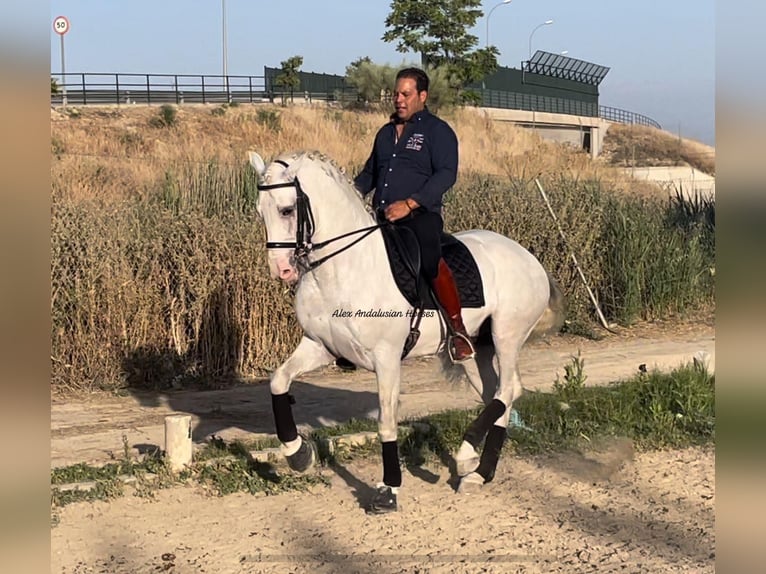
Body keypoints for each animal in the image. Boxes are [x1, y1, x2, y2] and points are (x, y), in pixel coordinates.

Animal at [249, 151, 568, 516]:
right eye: (260, 211)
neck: (344, 269)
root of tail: (528, 257)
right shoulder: (319, 346)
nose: (282, 270)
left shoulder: (386, 358)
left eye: (287, 210)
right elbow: (278, 381)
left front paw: (388, 489)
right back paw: (478, 471)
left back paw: (466, 453)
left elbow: (387, 421)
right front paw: (299, 455)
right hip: (475, 352)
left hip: (507, 335)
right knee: (498, 393)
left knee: (508, 388)